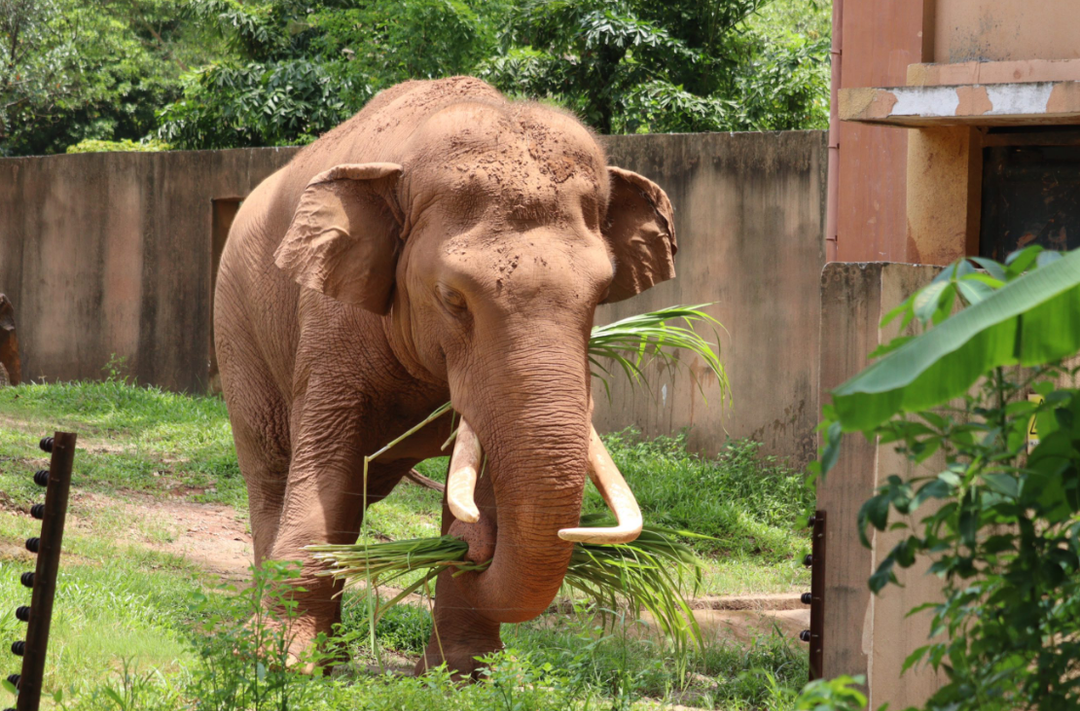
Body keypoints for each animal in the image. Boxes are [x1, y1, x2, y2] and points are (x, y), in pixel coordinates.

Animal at [212, 74, 673, 674]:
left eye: (599, 296)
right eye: (453, 298)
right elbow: (326, 469)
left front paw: (466, 675)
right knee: (273, 475)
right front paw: (281, 661)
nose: (476, 546)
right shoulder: (331, 322)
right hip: (237, 329)